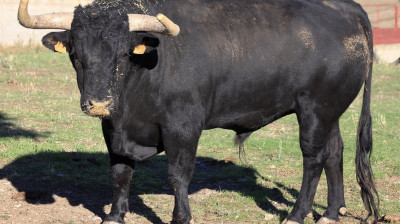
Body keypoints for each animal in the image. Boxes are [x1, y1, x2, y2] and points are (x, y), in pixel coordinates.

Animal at [23, 0, 380, 223]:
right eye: (76, 53)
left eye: (123, 53)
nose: (98, 103)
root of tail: (347, 8)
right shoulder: (114, 129)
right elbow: (120, 171)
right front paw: (114, 215)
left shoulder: (183, 126)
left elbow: (178, 174)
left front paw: (181, 217)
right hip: (330, 111)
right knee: (334, 151)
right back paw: (331, 213)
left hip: (315, 110)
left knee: (313, 158)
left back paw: (296, 215)